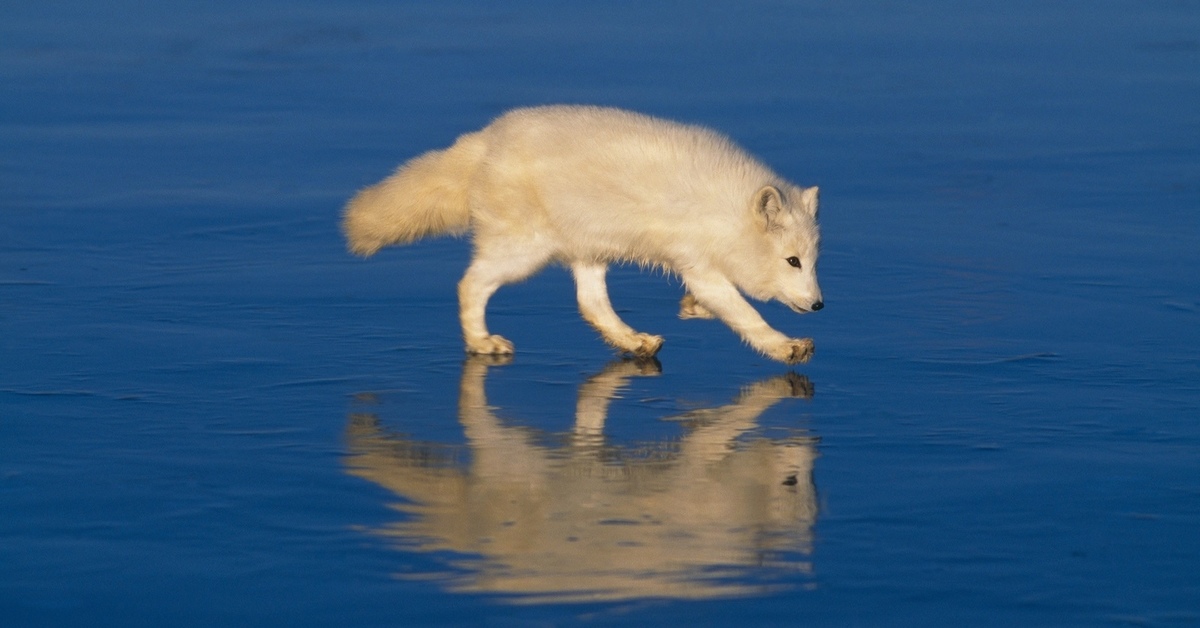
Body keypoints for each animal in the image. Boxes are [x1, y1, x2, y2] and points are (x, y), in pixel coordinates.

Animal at [343, 105, 820, 362]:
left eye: (814, 262)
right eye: (792, 261)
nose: (819, 305)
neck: (725, 209)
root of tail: (485, 139)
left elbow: (718, 303)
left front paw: (691, 309)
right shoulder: (698, 264)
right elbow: (746, 314)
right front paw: (786, 347)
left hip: (588, 251)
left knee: (589, 304)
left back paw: (634, 342)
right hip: (524, 253)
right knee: (469, 283)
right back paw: (481, 342)